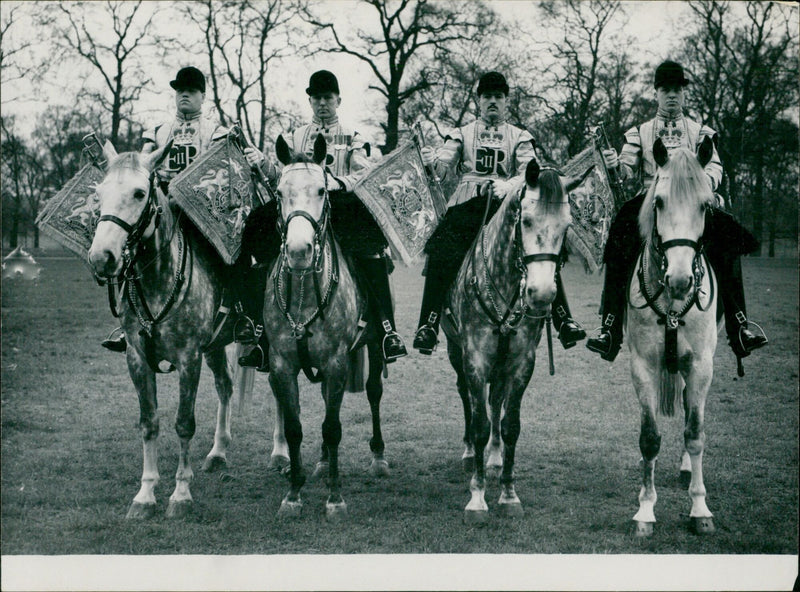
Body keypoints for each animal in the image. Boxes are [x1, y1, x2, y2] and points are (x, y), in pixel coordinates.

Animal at [87, 140, 250, 520]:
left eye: (139, 192)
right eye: (99, 193)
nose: (102, 258)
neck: (158, 280)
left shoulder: (189, 358)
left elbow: (183, 423)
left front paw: (180, 494)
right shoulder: (137, 358)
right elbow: (149, 422)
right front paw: (145, 494)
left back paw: (282, 454)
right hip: (216, 346)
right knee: (225, 386)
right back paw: (218, 452)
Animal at [262, 133, 388, 520]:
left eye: (321, 190)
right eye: (279, 192)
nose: (299, 251)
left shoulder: (336, 362)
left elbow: (332, 428)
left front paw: (334, 497)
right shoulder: (282, 365)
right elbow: (294, 428)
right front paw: (293, 493)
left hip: (374, 343)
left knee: (375, 391)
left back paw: (378, 456)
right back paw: (318, 464)